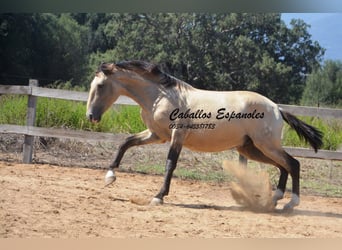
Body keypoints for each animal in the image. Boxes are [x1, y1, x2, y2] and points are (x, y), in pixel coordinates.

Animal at [86, 60, 324, 211]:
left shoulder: (177, 136)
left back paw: (291, 203)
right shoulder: (156, 134)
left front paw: (158, 197)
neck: (160, 97)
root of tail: (277, 108)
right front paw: (109, 177)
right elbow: (125, 143)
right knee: (283, 166)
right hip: (251, 148)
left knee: (293, 164)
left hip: (266, 145)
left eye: (101, 85)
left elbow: (170, 164)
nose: (91, 116)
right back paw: (275, 199)